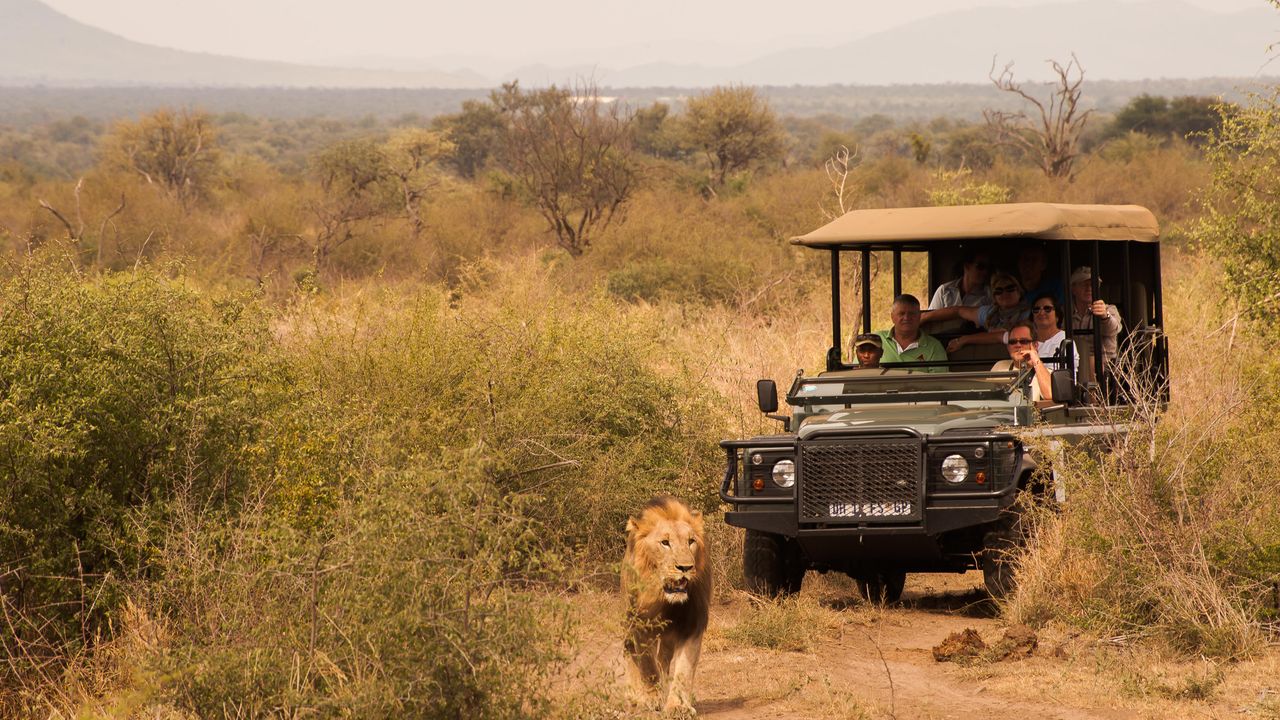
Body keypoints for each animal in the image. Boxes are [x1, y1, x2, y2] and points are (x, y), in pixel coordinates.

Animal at [619, 491, 711, 712]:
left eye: (691, 541)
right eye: (665, 543)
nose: (685, 567)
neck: (664, 600)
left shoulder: (692, 624)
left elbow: (683, 670)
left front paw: (678, 705)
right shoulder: (640, 624)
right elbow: (646, 666)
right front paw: (651, 699)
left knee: (664, 660)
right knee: (630, 652)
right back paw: (634, 696)